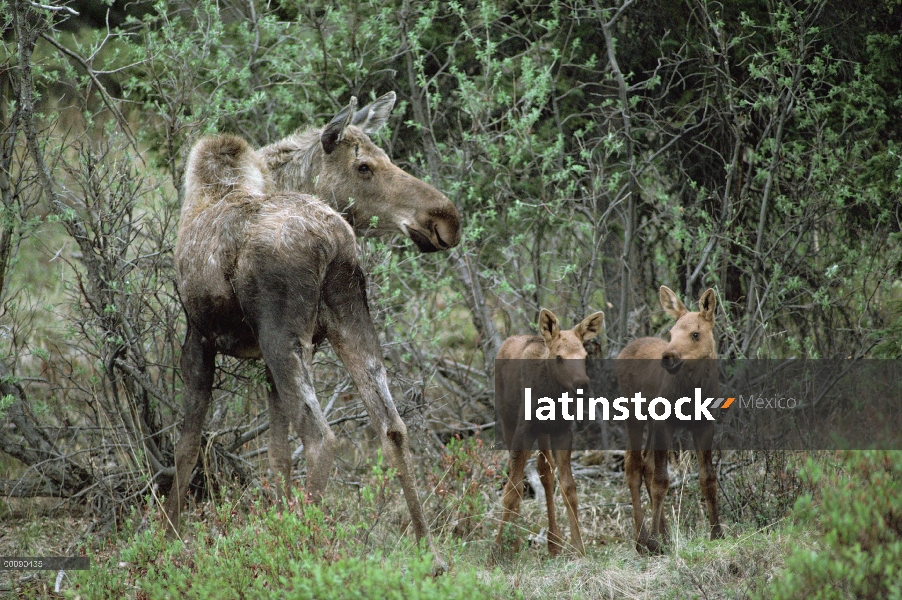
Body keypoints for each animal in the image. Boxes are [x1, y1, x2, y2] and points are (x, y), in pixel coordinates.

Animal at [164, 94, 460, 572]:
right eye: (365, 166)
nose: (446, 218)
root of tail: (334, 240)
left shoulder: (199, 335)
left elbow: (187, 445)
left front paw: (166, 536)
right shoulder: (260, 357)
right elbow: (278, 454)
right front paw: (276, 515)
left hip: (283, 336)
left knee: (322, 438)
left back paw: (297, 547)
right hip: (346, 320)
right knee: (392, 424)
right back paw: (429, 553)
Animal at [494, 308, 608, 560]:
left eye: (584, 355)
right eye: (559, 357)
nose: (582, 383)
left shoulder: (562, 429)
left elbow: (568, 486)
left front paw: (579, 546)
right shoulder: (524, 429)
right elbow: (513, 488)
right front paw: (498, 549)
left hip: (544, 431)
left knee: (545, 471)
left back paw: (553, 542)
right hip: (508, 419)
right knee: (516, 475)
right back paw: (515, 541)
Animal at [616, 286, 724, 552]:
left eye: (695, 334)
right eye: (672, 332)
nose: (668, 356)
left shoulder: (704, 424)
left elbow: (708, 477)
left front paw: (717, 533)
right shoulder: (664, 423)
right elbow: (661, 481)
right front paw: (653, 539)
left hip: (650, 420)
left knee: (645, 463)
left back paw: (663, 537)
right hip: (633, 412)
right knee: (632, 464)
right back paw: (642, 539)